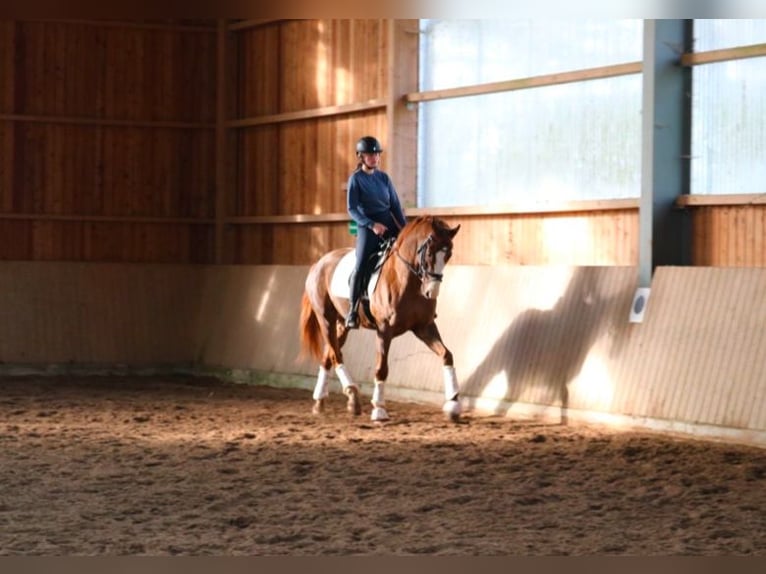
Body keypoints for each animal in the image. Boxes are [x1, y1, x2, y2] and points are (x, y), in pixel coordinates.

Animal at [300, 216, 462, 424]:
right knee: (336, 355)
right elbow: (381, 368)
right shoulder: (384, 330)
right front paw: (379, 409)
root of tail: (319, 263)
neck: (406, 280)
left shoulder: (424, 327)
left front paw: (454, 404)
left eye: (448, 254)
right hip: (325, 319)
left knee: (328, 355)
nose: (431, 292)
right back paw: (352, 395)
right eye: (429, 252)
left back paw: (321, 401)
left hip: (342, 324)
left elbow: (447, 355)